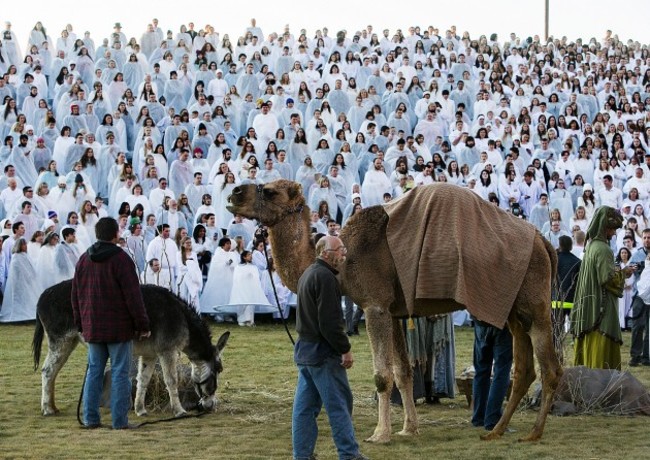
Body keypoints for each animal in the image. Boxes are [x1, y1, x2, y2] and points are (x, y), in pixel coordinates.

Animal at [228, 181, 560, 442]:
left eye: (270, 191)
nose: (234, 192)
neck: (345, 261)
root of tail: (544, 242)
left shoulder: (374, 306)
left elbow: (382, 375)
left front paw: (380, 434)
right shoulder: (395, 312)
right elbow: (403, 373)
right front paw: (408, 428)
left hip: (536, 303)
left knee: (550, 367)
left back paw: (534, 432)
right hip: (514, 310)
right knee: (524, 368)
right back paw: (496, 431)